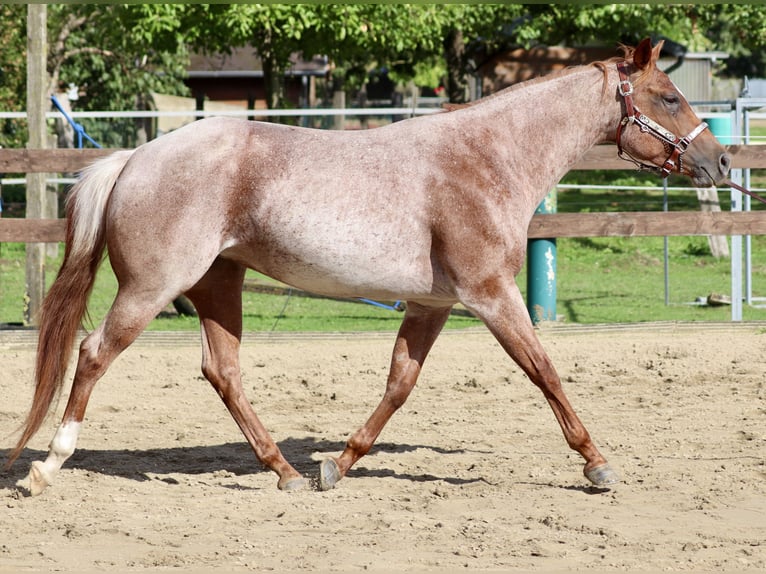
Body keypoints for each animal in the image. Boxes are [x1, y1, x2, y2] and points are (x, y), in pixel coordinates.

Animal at [8, 38, 730, 495]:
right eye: (668, 97)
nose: (720, 161)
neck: (487, 157)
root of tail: (133, 158)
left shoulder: (434, 304)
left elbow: (399, 385)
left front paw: (339, 465)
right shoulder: (491, 294)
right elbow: (544, 370)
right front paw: (597, 466)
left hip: (218, 284)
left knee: (222, 371)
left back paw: (287, 474)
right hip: (155, 287)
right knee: (94, 353)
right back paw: (46, 469)